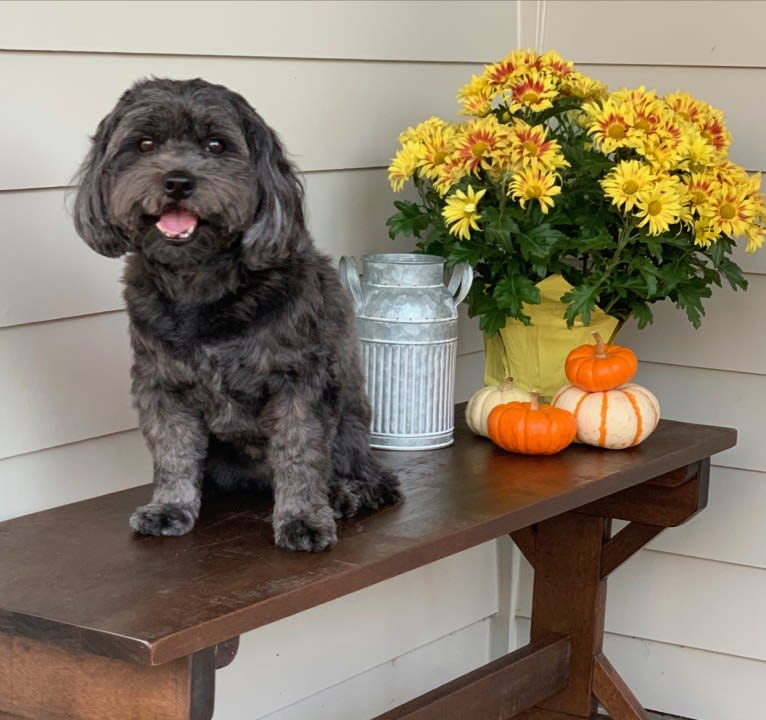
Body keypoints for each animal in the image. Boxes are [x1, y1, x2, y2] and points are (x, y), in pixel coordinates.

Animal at [75, 77, 402, 552]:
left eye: (216, 144)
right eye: (145, 143)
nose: (177, 181)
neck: (200, 282)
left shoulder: (299, 379)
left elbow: (300, 453)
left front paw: (302, 518)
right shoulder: (161, 383)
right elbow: (173, 450)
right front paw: (170, 507)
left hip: (352, 429)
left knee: (370, 478)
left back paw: (346, 493)